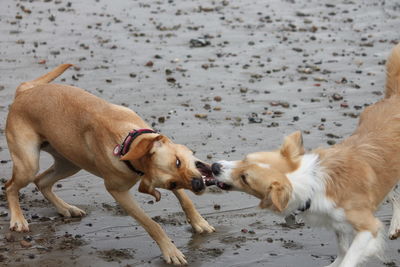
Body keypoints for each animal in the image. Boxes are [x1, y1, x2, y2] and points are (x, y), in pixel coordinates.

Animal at [3, 65, 216, 266]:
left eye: (178, 162)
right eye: (172, 183)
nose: (198, 185)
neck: (127, 146)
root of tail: (24, 91)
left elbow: (186, 201)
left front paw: (199, 222)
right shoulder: (118, 192)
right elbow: (151, 224)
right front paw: (170, 251)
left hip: (70, 164)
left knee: (42, 181)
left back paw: (65, 208)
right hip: (28, 164)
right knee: (11, 186)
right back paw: (18, 219)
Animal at [211, 43, 400, 266]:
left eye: (245, 178)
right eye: (245, 158)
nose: (214, 166)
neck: (312, 183)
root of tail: (394, 98)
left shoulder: (368, 227)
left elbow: (349, 257)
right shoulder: (338, 223)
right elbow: (342, 250)